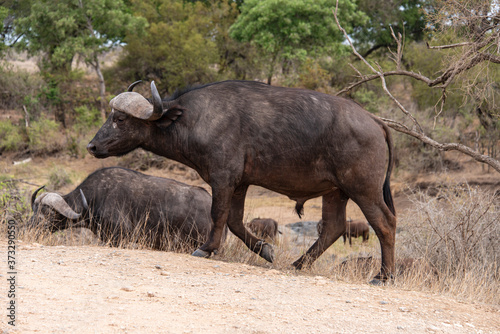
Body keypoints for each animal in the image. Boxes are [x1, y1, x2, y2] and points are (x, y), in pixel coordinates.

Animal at [88, 80, 396, 282]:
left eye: (120, 119)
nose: (92, 146)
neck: (195, 118)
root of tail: (375, 121)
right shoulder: (241, 184)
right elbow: (235, 222)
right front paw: (265, 250)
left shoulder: (223, 179)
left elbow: (218, 215)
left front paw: (206, 248)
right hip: (335, 192)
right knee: (333, 228)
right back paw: (297, 264)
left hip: (363, 190)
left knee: (385, 224)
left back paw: (384, 275)